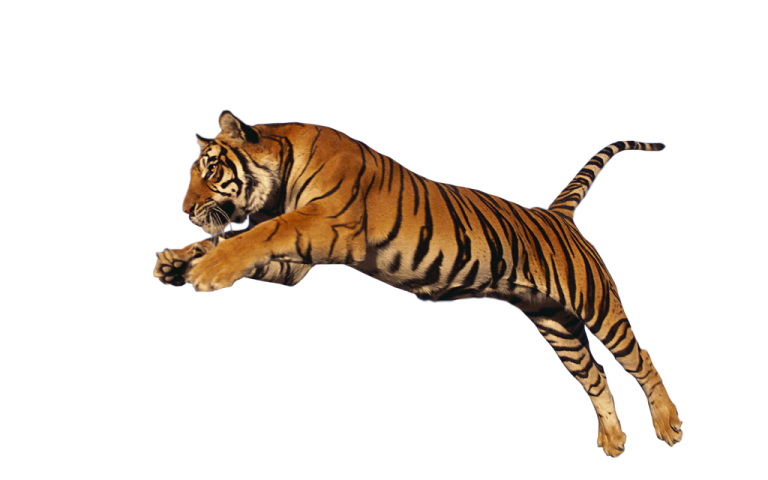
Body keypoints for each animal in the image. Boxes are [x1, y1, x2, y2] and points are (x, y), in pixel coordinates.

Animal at [153, 110, 683, 457]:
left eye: (212, 170)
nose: (185, 209)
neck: (280, 178)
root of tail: (557, 213)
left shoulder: (324, 225)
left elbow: (255, 235)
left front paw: (205, 271)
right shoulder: (294, 265)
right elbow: (233, 241)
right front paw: (175, 261)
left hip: (597, 305)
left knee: (640, 359)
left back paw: (669, 425)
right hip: (555, 324)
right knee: (594, 375)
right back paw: (613, 440)